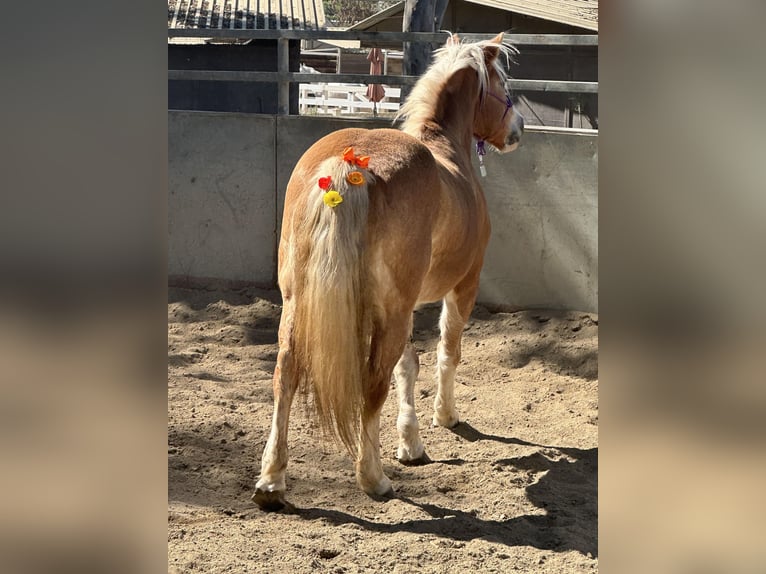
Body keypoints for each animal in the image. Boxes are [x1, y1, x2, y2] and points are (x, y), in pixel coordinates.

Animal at [255, 32, 524, 512]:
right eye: (502, 83)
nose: (518, 130)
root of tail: (349, 164)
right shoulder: (463, 286)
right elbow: (446, 354)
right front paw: (444, 418)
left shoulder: (403, 305)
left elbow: (408, 366)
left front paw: (411, 443)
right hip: (395, 312)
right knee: (372, 385)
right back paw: (374, 478)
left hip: (297, 303)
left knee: (285, 374)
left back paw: (271, 481)